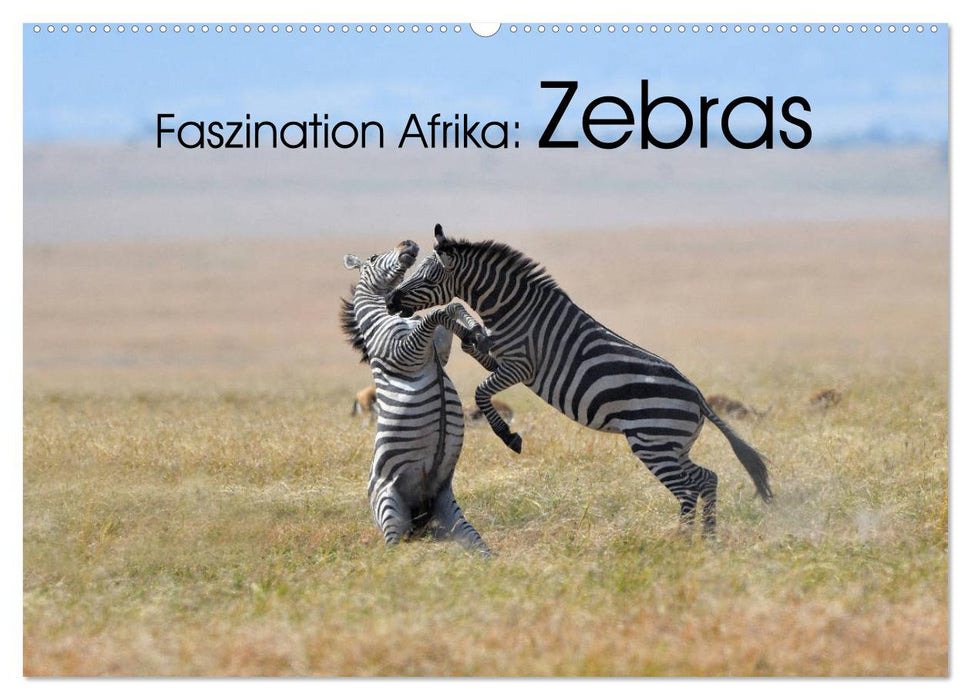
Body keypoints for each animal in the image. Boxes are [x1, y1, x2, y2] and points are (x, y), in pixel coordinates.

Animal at [342, 239, 495, 554]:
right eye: (373, 257)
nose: (408, 243)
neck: (382, 317)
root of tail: (420, 518)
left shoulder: (437, 353)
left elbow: (451, 307)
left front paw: (477, 336)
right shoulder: (404, 352)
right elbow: (438, 314)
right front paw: (472, 335)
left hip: (450, 513)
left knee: (476, 547)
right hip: (391, 508)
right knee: (393, 553)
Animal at [387, 225, 772, 535]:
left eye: (429, 279)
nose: (391, 299)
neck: (514, 310)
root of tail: (698, 397)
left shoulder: (521, 366)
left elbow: (482, 392)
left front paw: (510, 437)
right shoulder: (501, 357)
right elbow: (474, 346)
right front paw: (468, 332)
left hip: (654, 443)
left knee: (690, 487)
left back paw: (685, 539)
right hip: (674, 445)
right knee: (707, 479)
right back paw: (705, 538)